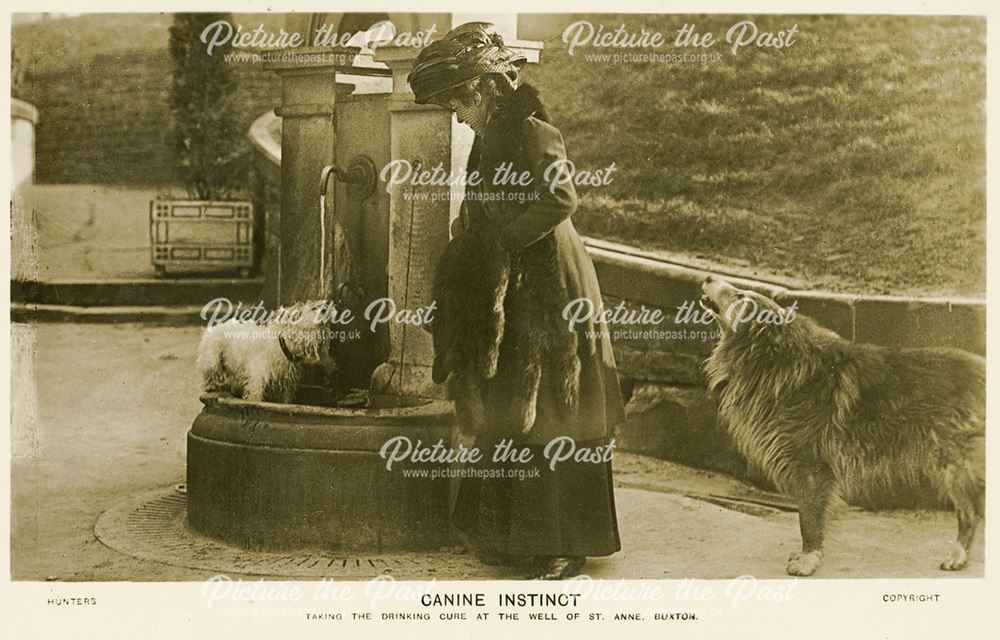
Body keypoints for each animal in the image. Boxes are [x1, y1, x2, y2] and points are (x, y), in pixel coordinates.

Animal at [196, 302, 332, 402]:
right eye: (314, 308)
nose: (327, 306)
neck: (283, 347)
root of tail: (213, 327)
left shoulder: (285, 385)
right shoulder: (257, 382)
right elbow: (255, 399)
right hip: (212, 358)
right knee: (209, 373)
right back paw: (211, 387)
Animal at [700, 278, 988, 576]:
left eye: (740, 296)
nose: (709, 279)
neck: (775, 360)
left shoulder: (811, 468)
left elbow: (808, 519)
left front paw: (808, 559)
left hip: (956, 462)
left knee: (970, 512)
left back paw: (958, 555)